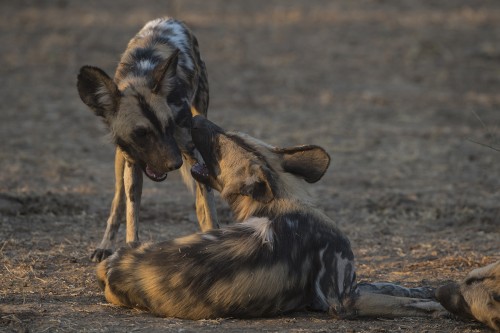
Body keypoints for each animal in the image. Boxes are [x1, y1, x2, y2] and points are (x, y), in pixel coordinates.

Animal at [77, 17, 218, 262]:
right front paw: (130, 252)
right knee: (118, 201)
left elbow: (208, 203)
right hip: (120, 160)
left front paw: (211, 237)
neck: (139, 78)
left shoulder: (191, 151)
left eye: (168, 126)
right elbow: (132, 214)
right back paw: (105, 244)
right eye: (141, 134)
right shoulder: (132, 164)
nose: (174, 164)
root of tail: (168, 19)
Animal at [94, 115, 446, 318]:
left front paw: (427, 291)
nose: (196, 118)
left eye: (226, 137)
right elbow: (396, 301)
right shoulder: (344, 299)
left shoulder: (353, 289)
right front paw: (433, 306)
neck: (283, 200)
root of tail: (114, 264)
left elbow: (393, 286)